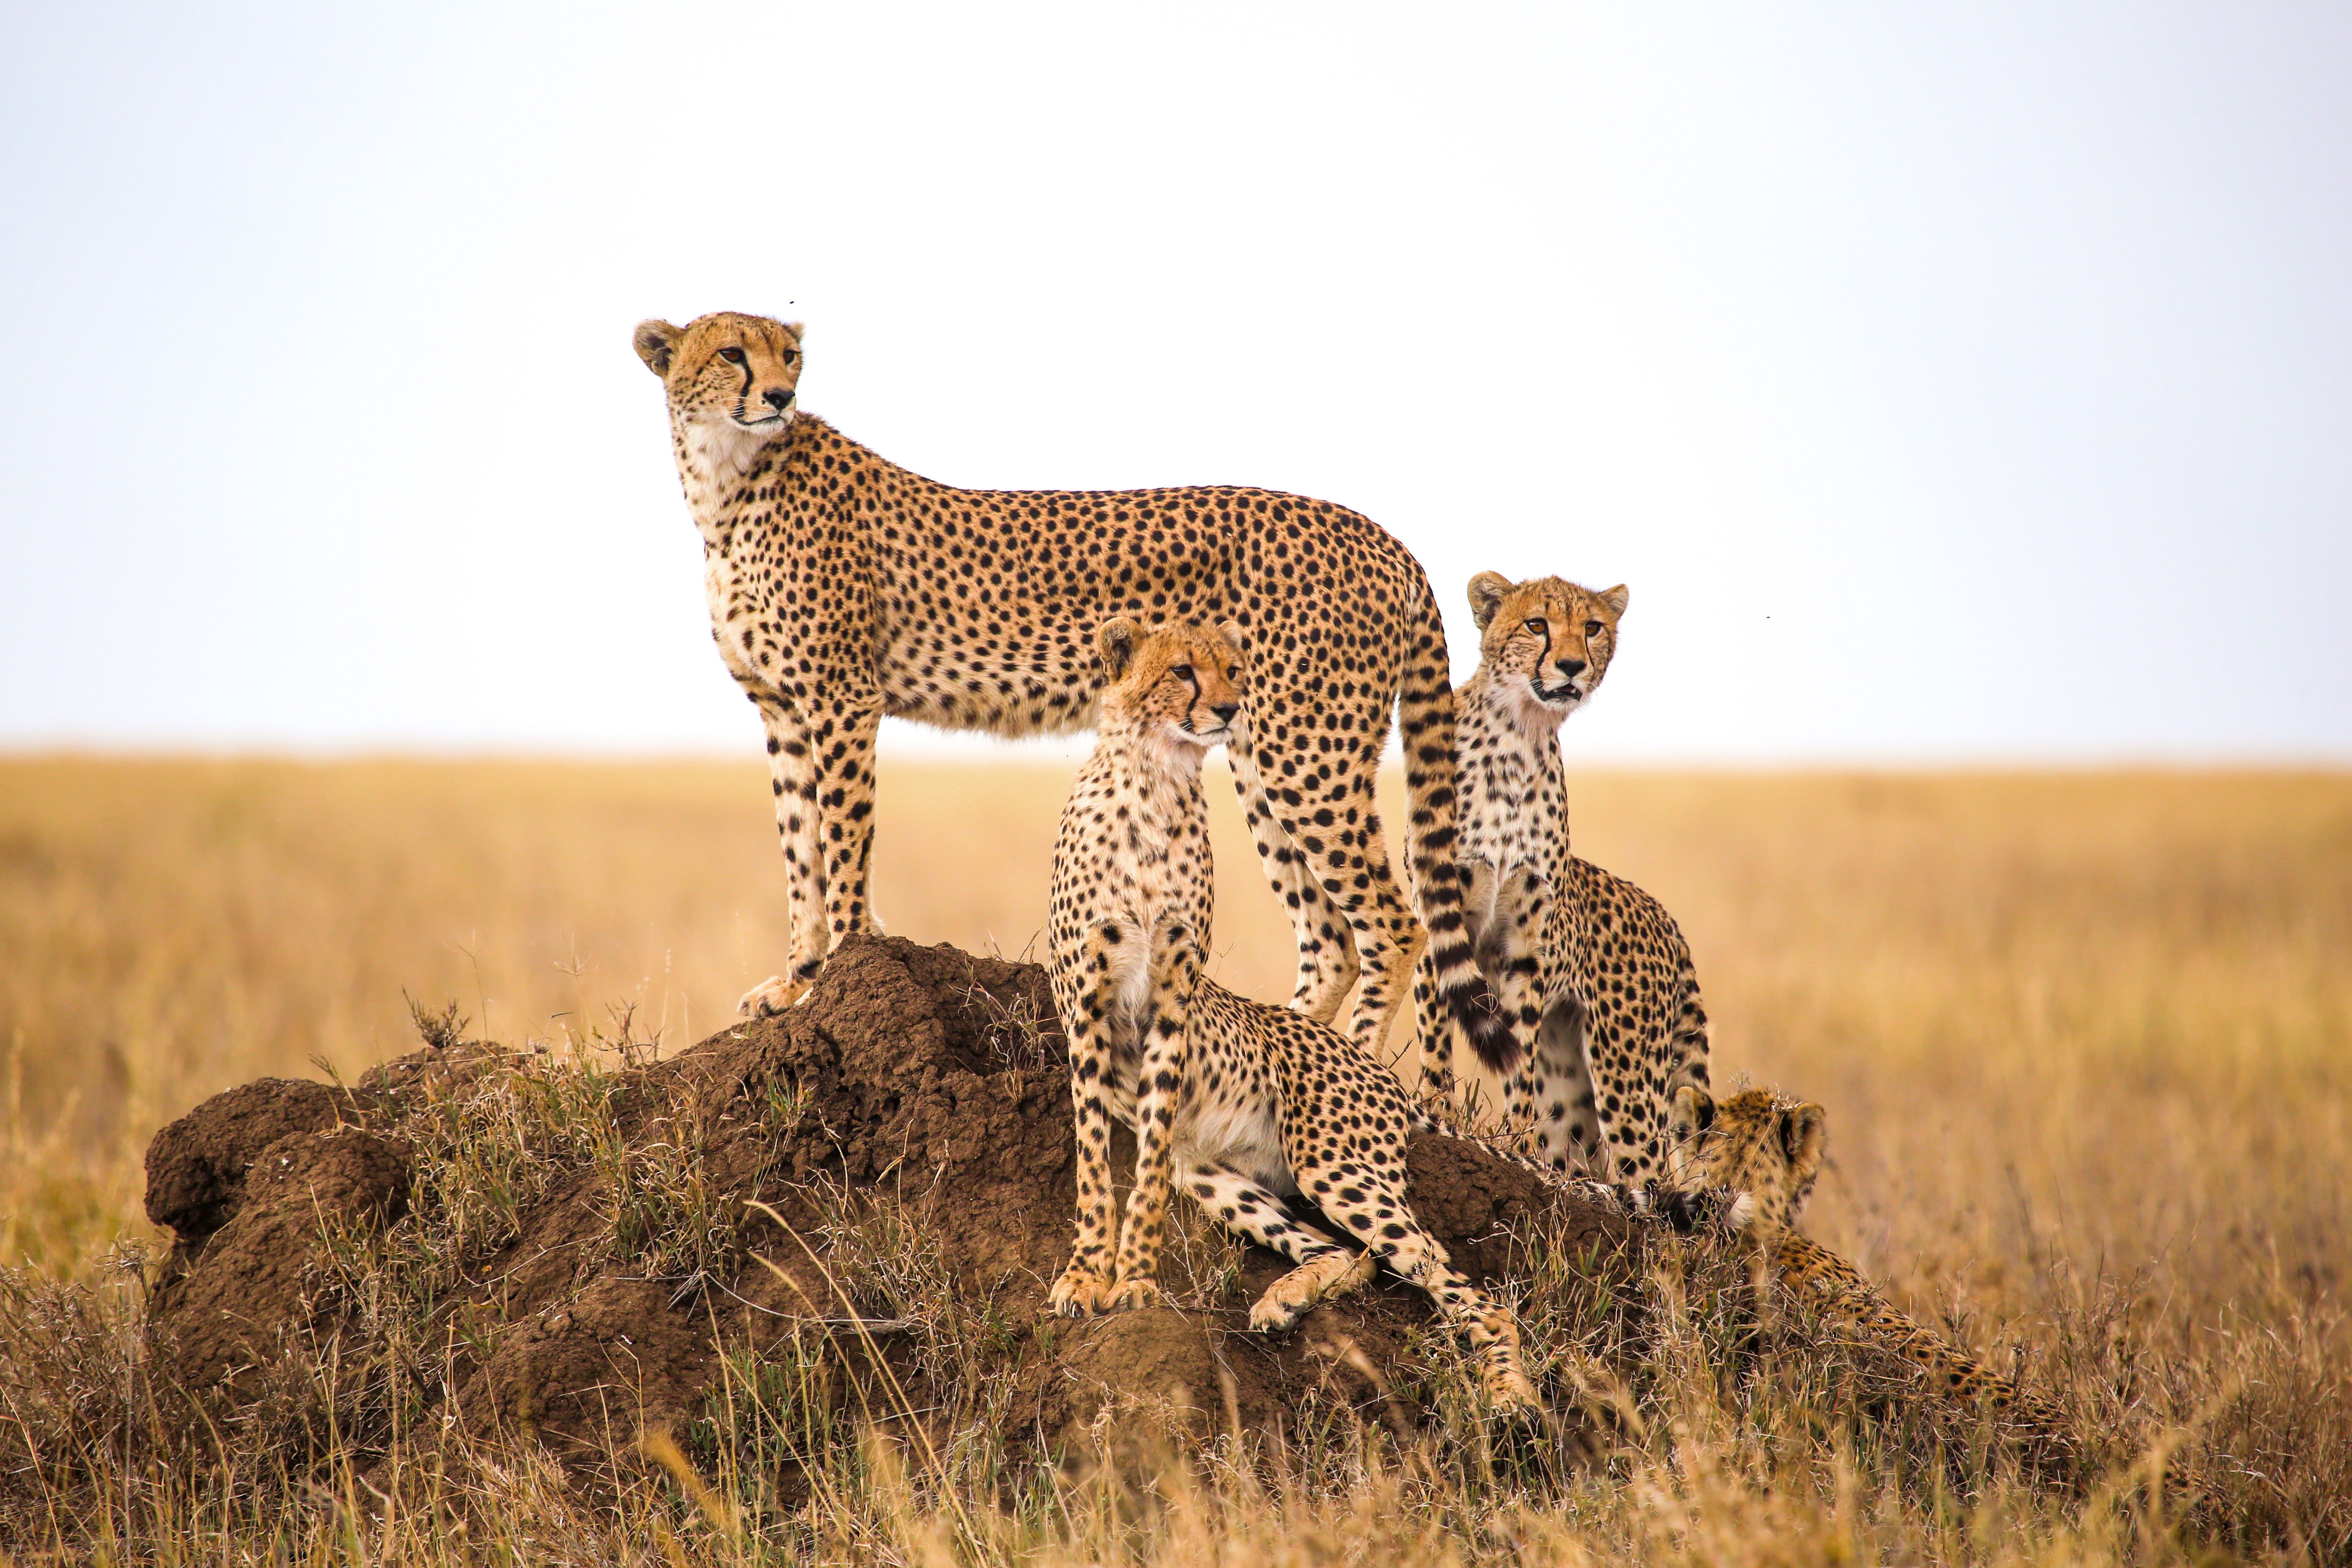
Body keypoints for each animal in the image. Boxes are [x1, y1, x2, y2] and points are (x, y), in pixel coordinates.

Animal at [630, 310, 1505, 1067]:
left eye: (791, 356)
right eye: (733, 353)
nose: (780, 396)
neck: (727, 481)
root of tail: (1381, 535)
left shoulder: (841, 697)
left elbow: (841, 845)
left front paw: (835, 972)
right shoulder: (782, 708)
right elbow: (799, 851)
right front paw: (796, 981)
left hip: (1306, 753)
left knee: (1393, 924)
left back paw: (1354, 1069)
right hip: (1260, 750)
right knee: (1330, 937)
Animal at [1049, 620, 1543, 1420]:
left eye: (1232, 668)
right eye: (1181, 670)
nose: (1229, 709)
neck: (1155, 781)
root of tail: (1369, 1064)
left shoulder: (1171, 1005)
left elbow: (1143, 1171)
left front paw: (1135, 1282)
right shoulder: (1088, 1010)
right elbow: (1096, 1161)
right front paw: (1085, 1276)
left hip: (1336, 1166)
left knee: (1462, 1287)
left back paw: (1510, 1395)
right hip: (1214, 1174)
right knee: (1351, 1254)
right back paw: (1283, 1301)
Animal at [1402, 573, 1721, 1175]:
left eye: (1592, 627)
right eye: (1536, 624)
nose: (1572, 665)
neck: (1518, 735)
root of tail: (1665, 917)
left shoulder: (1527, 941)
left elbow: (1518, 1049)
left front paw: (1517, 1142)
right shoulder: (1438, 910)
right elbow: (1436, 1032)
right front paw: (1435, 1110)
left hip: (1626, 1072)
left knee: (1647, 1173)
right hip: (1581, 1079)